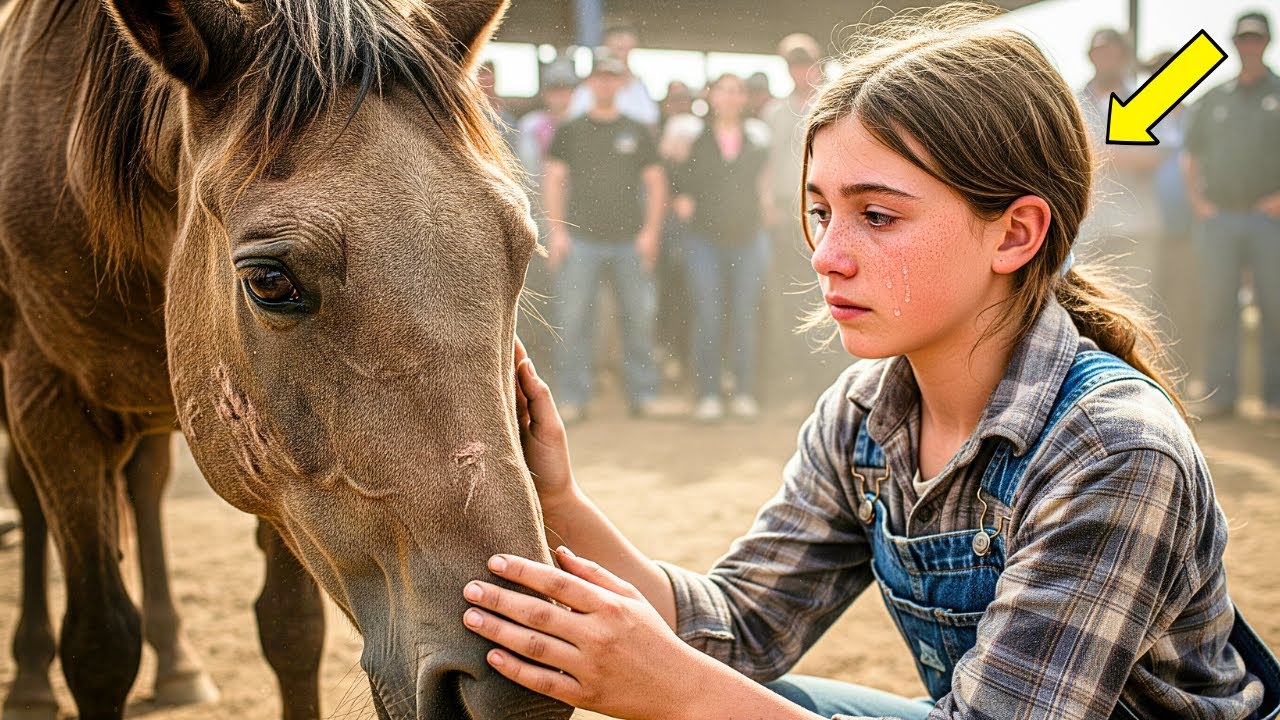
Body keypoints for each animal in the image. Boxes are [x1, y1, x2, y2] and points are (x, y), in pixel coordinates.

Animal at [0, 1, 570, 719]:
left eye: (520, 251)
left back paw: (179, 664)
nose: (515, 694)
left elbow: (291, 630)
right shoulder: (51, 408)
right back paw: (28, 680)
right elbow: (99, 647)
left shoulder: (277, 479)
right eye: (270, 281)